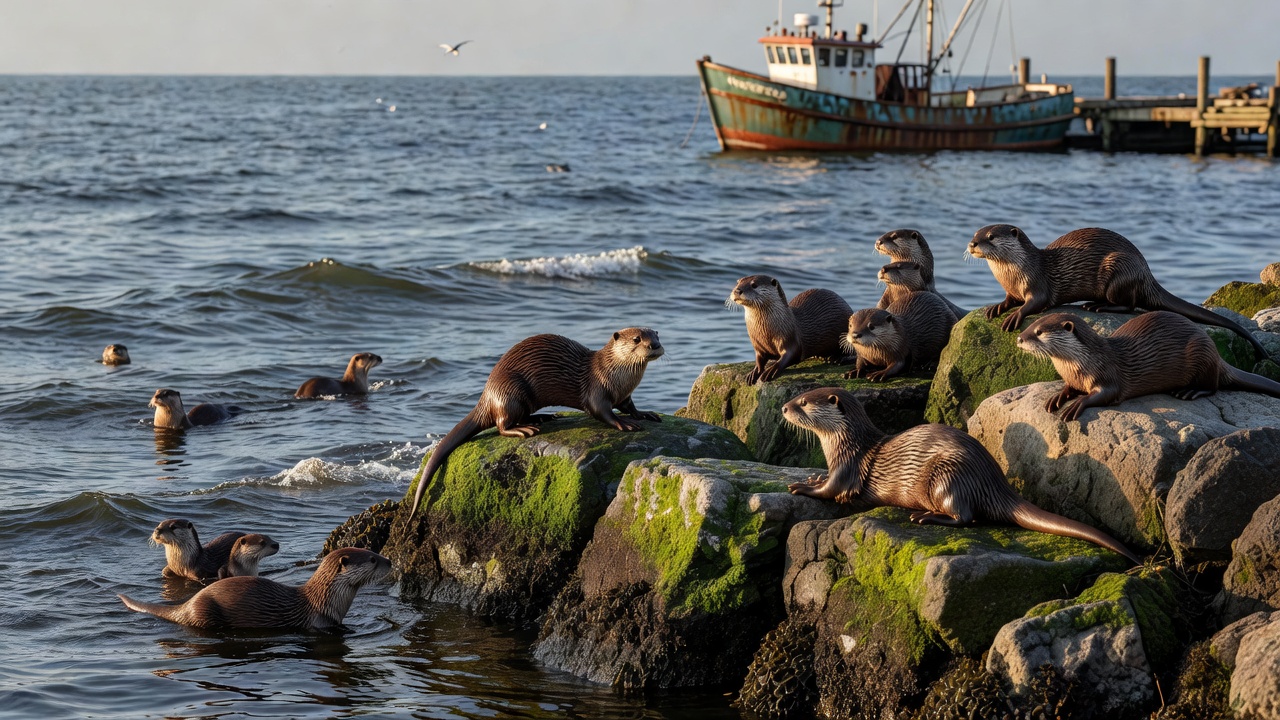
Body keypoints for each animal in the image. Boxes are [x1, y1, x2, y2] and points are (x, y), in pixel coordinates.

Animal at [120, 547, 392, 630]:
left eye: (373, 551)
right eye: (372, 559)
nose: (389, 561)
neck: (325, 600)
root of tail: (187, 604)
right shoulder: (319, 624)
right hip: (205, 612)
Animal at [408, 328, 664, 519]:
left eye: (657, 335)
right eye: (637, 339)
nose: (654, 345)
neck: (617, 374)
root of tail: (488, 393)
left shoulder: (624, 395)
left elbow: (630, 406)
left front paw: (645, 414)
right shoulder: (597, 389)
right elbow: (602, 412)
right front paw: (624, 423)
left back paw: (542, 417)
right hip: (511, 393)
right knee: (501, 425)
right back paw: (525, 429)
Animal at [783, 387, 1140, 564]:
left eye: (804, 402)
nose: (785, 408)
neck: (844, 443)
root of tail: (994, 482)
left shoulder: (847, 467)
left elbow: (832, 491)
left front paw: (802, 486)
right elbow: (824, 483)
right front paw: (812, 479)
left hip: (947, 474)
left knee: (966, 517)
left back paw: (925, 516)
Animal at [966, 225, 1268, 360]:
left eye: (990, 236)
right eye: (975, 233)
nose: (972, 244)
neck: (1013, 274)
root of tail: (1146, 273)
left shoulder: (1038, 283)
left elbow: (1035, 303)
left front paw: (1014, 316)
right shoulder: (1012, 289)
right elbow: (1009, 300)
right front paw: (996, 307)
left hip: (1118, 267)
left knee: (1131, 305)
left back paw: (1096, 306)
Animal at [1017, 311, 1280, 421]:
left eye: (1039, 332)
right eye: (1030, 326)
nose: (1019, 338)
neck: (1081, 364)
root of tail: (1216, 351)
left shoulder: (1108, 375)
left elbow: (1104, 394)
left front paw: (1077, 404)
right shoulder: (1073, 378)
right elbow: (1068, 388)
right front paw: (1057, 397)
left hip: (1202, 353)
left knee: (1213, 385)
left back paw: (1189, 391)